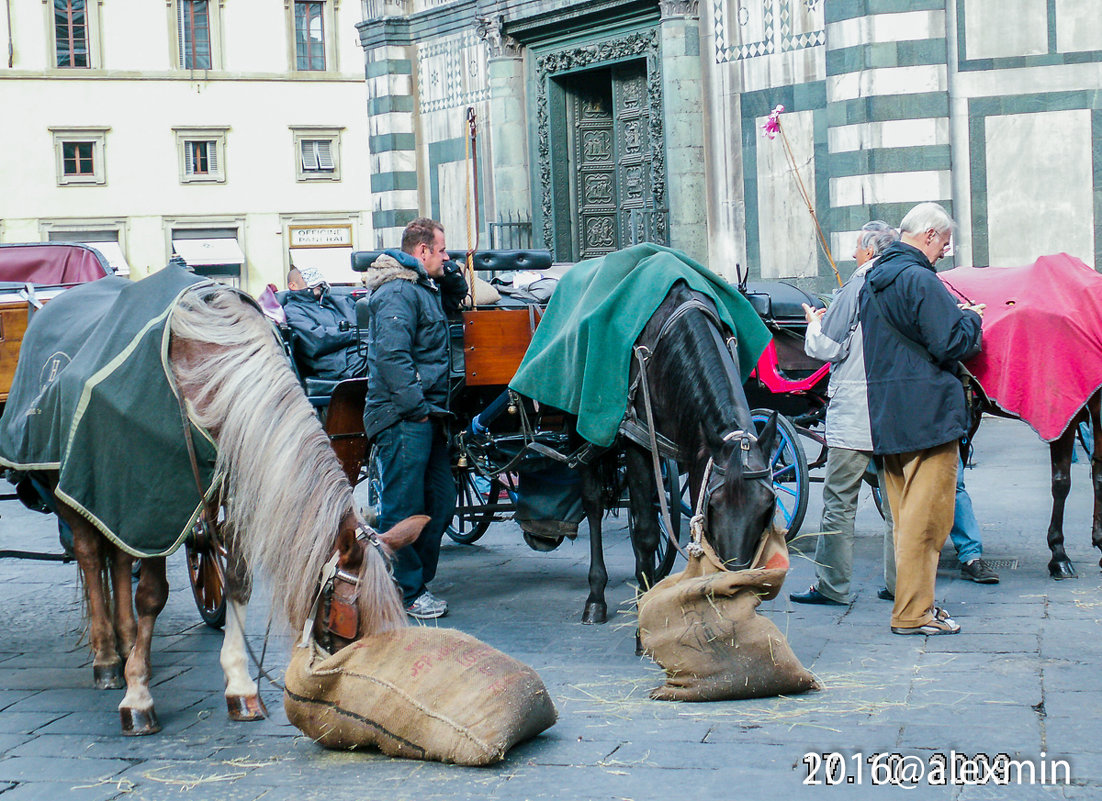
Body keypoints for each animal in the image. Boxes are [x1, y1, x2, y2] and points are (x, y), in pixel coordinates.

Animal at [577, 282, 775, 625]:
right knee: (593, 504)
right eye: (715, 505)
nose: (737, 581)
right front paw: (644, 612)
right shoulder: (638, 439)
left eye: (767, 506)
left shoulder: (696, 453)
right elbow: (645, 531)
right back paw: (596, 596)